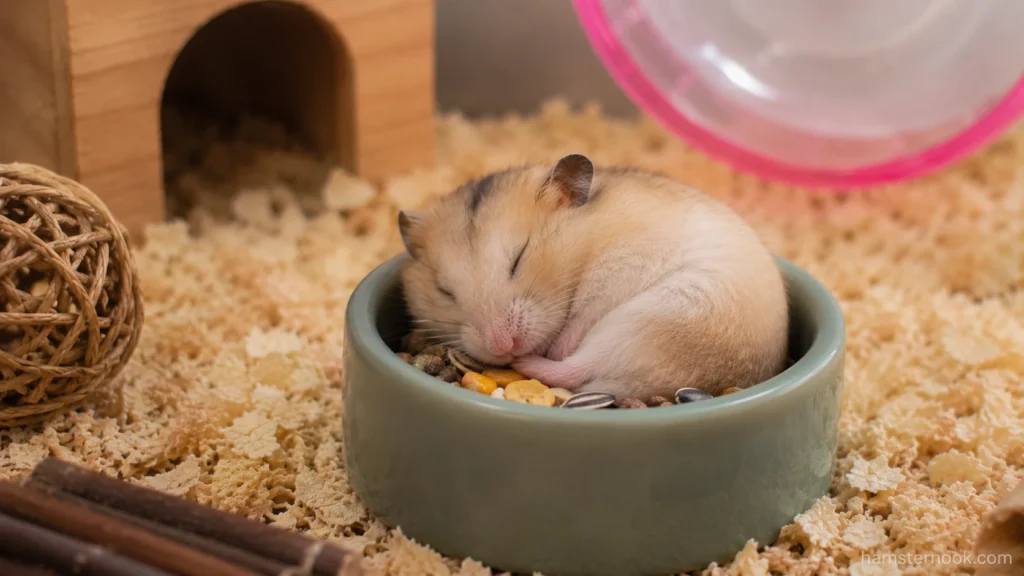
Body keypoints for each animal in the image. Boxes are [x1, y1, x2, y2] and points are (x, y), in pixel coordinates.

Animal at [396, 153, 789, 400]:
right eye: (444, 290)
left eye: (519, 257)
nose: (503, 345)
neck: (585, 248)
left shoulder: (627, 264)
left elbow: (585, 313)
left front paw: (555, 342)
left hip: (654, 319)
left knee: (576, 366)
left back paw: (528, 361)